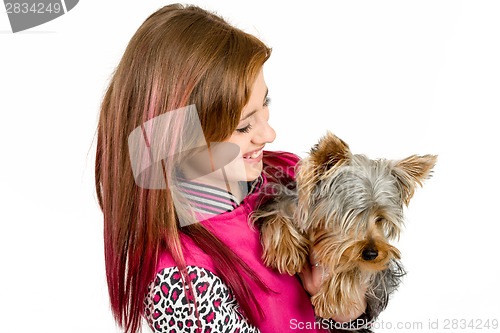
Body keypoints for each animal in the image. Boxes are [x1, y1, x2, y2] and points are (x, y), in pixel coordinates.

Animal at [254, 131, 438, 328]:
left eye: (380, 218)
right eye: (349, 215)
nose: (371, 254)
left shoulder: (379, 274)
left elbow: (357, 266)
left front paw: (333, 297)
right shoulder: (283, 203)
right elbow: (277, 213)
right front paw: (286, 250)